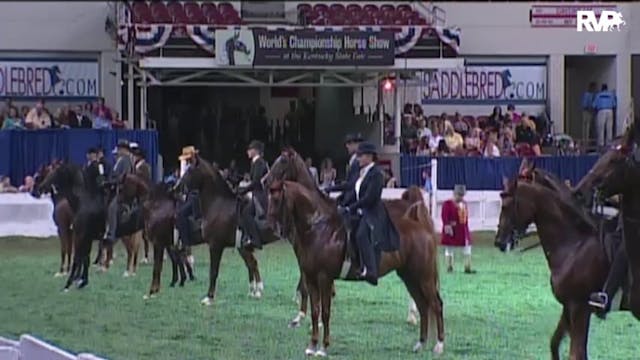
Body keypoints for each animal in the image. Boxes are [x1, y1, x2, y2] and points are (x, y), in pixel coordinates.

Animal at [37, 162, 105, 290]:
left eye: (53, 172)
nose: (38, 189)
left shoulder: (68, 232)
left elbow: (71, 253)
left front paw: (66, 279)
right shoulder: (81, 236)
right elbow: (82, 256)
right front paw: (81, 280)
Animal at [268, 181, 442, 356]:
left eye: (277, 199)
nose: (271, 227)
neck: (319, 229)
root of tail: (422, 226)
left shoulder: (325, 278)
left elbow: (325, 312)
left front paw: (324, 348)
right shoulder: (311, 279)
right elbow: (315, 311)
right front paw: (312, 346)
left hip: (424, 277)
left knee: (436, 304)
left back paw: (439, 346)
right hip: (410, 277)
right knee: (422, 306)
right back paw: (420, 344)